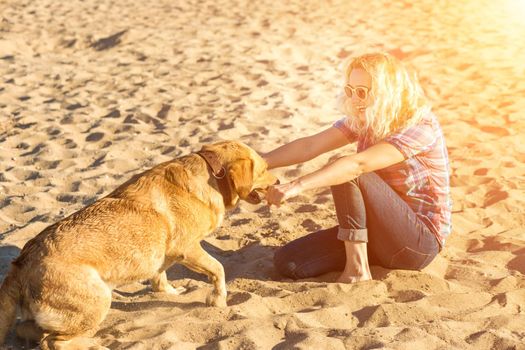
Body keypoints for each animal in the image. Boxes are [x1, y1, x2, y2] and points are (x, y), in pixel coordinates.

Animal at [0, 140, 276, 350]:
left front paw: (169, 292)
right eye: (263, 169)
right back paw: (95, 346)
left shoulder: (162, 255)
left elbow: (160, 276)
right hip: (98, 300)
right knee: (54, 342)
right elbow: (218, 268)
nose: (277, 181)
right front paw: (218, 300)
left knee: (30, 331)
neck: (213, 174)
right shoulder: (189, 249)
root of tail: (20, 265)